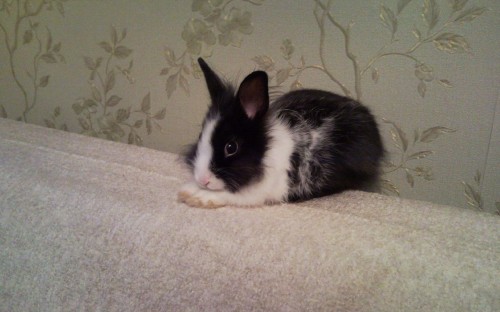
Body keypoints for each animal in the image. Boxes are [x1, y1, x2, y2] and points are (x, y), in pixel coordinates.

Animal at [178, 58, 384, 210]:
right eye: (200, 136)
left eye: (231, 147)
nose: (202, 180)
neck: (266, 151)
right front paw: (189, 189)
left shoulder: (265, 189)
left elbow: (237, 195)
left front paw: (196, 196)